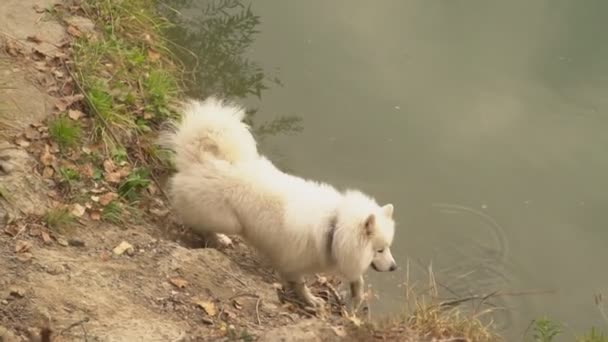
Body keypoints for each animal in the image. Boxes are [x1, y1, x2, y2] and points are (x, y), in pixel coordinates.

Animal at [162, 97, 400, 308]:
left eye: (387, 248)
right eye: (379, 250)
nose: (394, 268)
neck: (334, 227)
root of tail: (202, 161)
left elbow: (357, 279)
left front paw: (357, 296)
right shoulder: (293, 264)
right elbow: (300, 284)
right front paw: (310, 300)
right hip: (228, 221)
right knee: (198, 224)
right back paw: (217, 238)